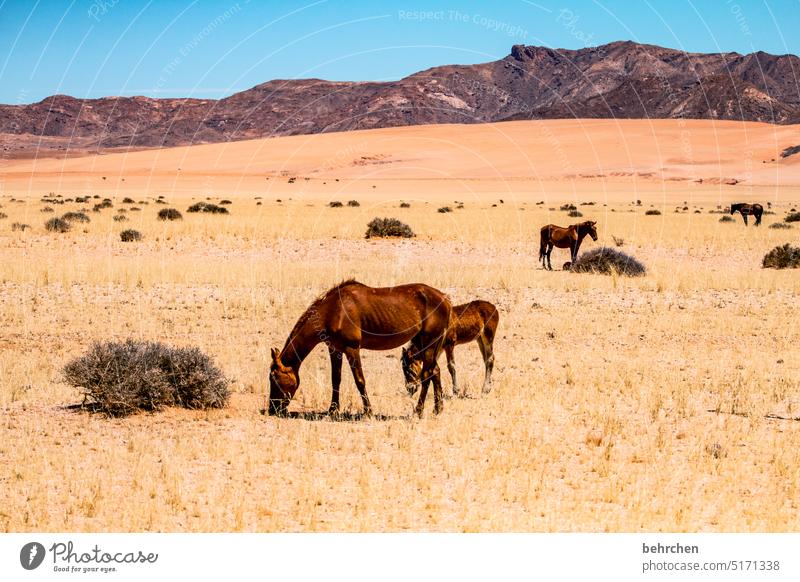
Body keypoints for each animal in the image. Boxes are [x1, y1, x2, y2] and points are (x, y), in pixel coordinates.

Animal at [270, 280, 450, 420]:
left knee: (427, 375)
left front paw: (368, 412)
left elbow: (360, 381)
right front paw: (332, 410)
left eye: (274, 379)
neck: (333, 310)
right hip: (425, 343)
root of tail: (445, 299)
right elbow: (336, 379)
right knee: (435, 371)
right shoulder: (334, 349)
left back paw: (418, 411)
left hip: (429, 342)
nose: (272, 409)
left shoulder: (352, 349)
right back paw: (437, 409)